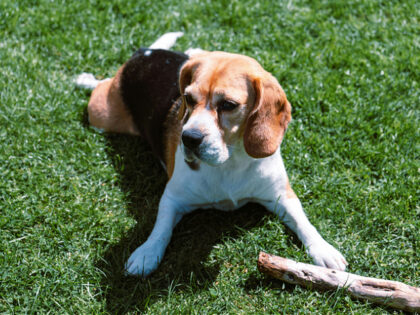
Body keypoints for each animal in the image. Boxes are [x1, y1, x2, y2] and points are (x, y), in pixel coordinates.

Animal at [77, 33, 346, 278]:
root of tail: (143, 54)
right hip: (101, 116)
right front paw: (146, 253)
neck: (229, 164)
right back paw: (85, 79)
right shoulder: (172, 197)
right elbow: (160, 229)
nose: (188, 138)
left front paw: (323, 250)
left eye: (228, 105)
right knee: (101, 85)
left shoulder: (281, 194)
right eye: (187, 98)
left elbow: (303, 221)